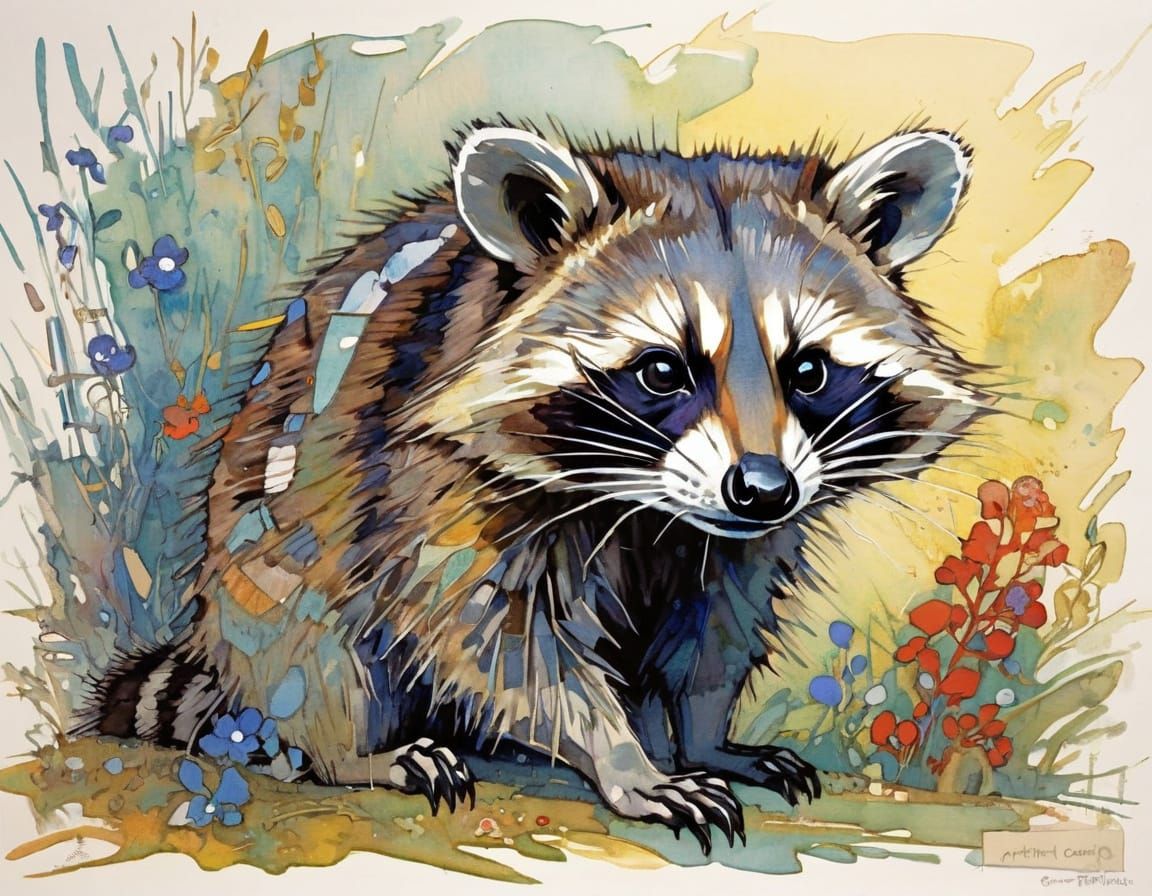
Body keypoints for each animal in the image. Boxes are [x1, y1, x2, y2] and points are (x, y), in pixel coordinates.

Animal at [86, 124, 979, 850]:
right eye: (663, 370)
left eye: (809, 371)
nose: (762, 489)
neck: (651, 507)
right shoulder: (433, 483)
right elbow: (500, 640)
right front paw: (625, 759)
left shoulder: (738, 542)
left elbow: (715, 632)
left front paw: (701, 735)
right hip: (264, 575)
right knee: (322, 658)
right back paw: (349, 754)